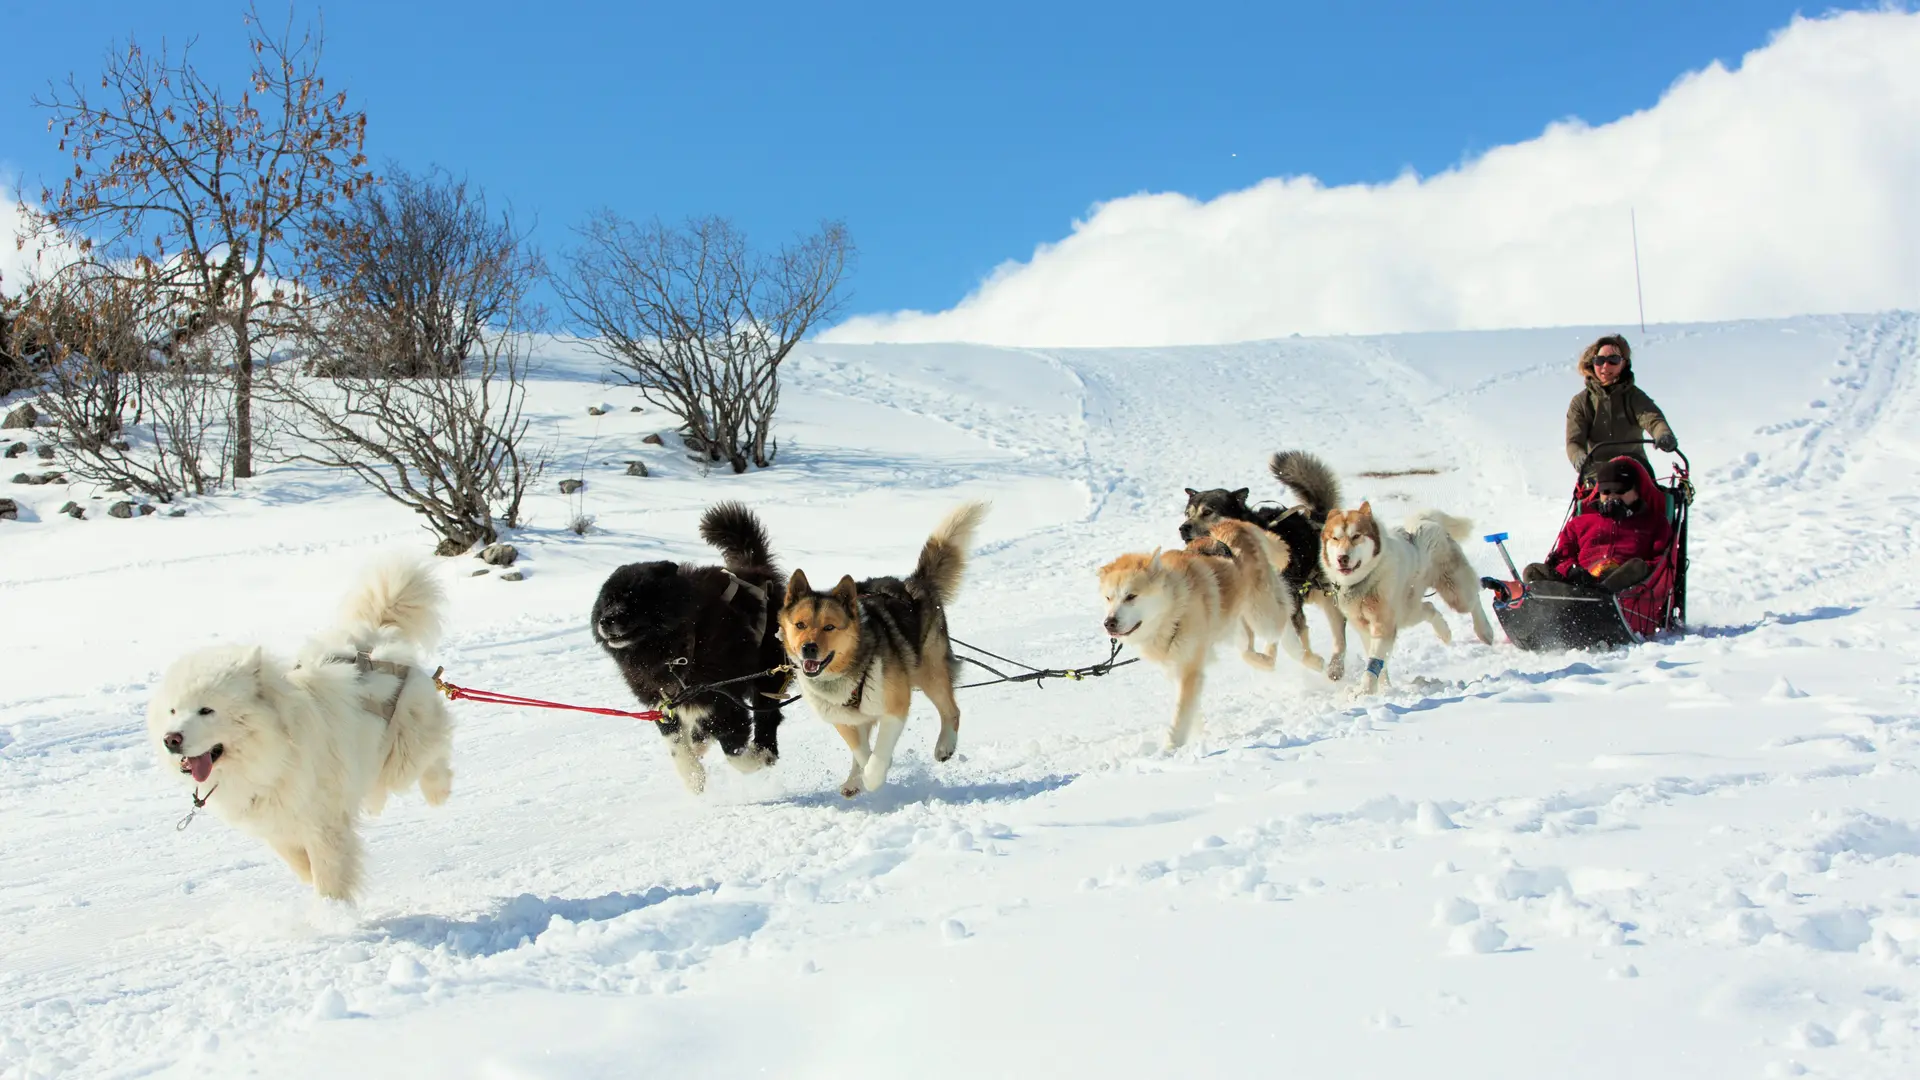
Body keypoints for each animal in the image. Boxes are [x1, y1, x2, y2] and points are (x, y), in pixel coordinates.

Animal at [591, 499, 787, 791]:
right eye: (607, 601)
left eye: (633, 599)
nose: (606, 620)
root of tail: (756, 572)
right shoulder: (664, 703)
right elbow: (676, 745)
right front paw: (693, 776)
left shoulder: (721, 699)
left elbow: (734, 750)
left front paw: (757, 759)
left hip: (768, 673)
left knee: (767, 716)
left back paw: (763, 749)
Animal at [779, 499, 990, 795]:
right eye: (800, 624)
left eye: (829, 627)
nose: (808, 647)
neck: (848, 671)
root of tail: (913, 582)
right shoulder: (844, 719)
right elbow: (861, 751)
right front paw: (862, 773)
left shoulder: (895, 707)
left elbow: (877, 757)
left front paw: (875, 775)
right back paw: (853, 780)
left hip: (929, 672)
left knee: (951, 710)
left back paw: (945, 745)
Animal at [1175, 445, 1359, 672]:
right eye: (1187, 513)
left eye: (1208, 511)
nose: (1183, 528)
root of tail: (1316, 517)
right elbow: (1248, 651)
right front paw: (1265, 661)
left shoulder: (1289, 604)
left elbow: (1296, 644)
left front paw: (1312, 661)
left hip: (1326, 596)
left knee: (1338, 633)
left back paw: (1335, 666)